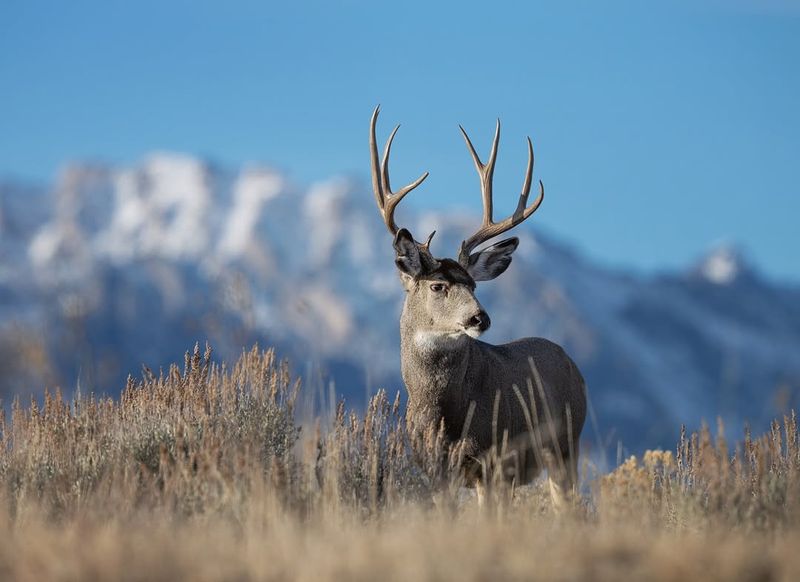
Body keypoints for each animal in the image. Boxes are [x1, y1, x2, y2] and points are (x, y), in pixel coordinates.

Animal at [368, 107, 588, 500]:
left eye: (473, 285)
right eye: (438, 286)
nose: (479, 318)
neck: (440, 412)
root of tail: (573, 365)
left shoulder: (493, 461)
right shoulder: (435, 470)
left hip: (565, 445)